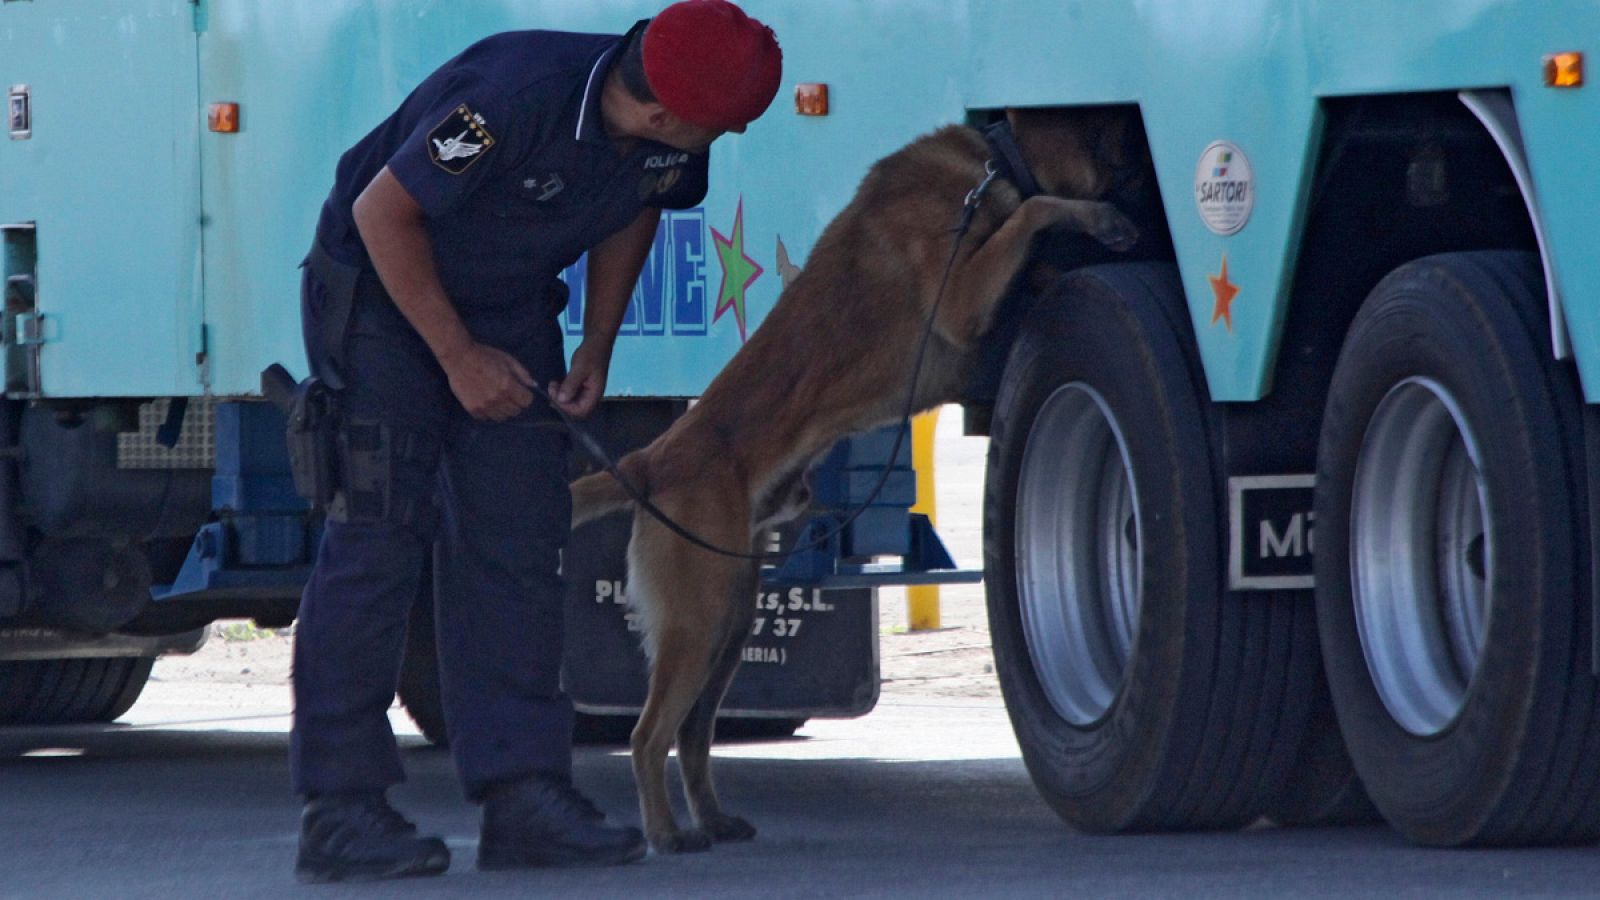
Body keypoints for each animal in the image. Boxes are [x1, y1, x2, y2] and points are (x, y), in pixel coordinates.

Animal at [569, 108, 1145, 851]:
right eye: (1127, 148)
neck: (997, 157)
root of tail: (652, 458)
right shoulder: (962, 297)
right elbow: (1034, 211)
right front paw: (1099, 220)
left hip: (729, 624)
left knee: (692, 735)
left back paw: (713, 819)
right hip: (697, 622)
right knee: (649, 735)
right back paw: (668, 834)